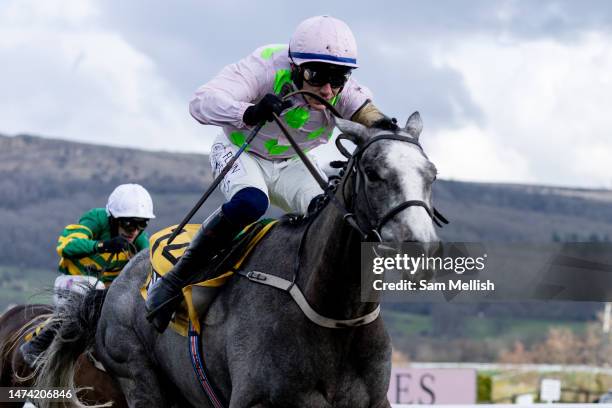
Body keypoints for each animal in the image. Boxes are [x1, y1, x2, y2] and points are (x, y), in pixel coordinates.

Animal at [37, 112, 440, 408]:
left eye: (431, 174)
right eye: (373, 173)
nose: (419, 246)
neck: (333, 312)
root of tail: (114, 288)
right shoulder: (256, 401)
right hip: (139, 378)